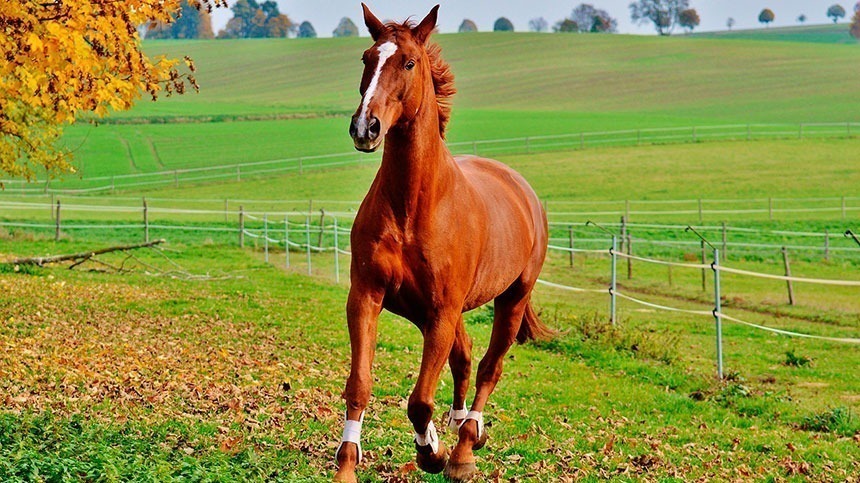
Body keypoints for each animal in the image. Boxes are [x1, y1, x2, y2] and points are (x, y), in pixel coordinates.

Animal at [336, 4, 552, 483]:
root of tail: (523, 190)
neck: (413, 207)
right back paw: (458, 426)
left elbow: (419, 401)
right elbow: (360, 385)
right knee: (465, 358)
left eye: (409, 63)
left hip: (509, 300)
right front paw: (346, 466)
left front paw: (431, 452)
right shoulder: (368, 297)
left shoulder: (441, 312)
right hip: (433, 313)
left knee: (489, 367)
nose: (365, 127)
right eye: (366, 58)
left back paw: (466, 444)